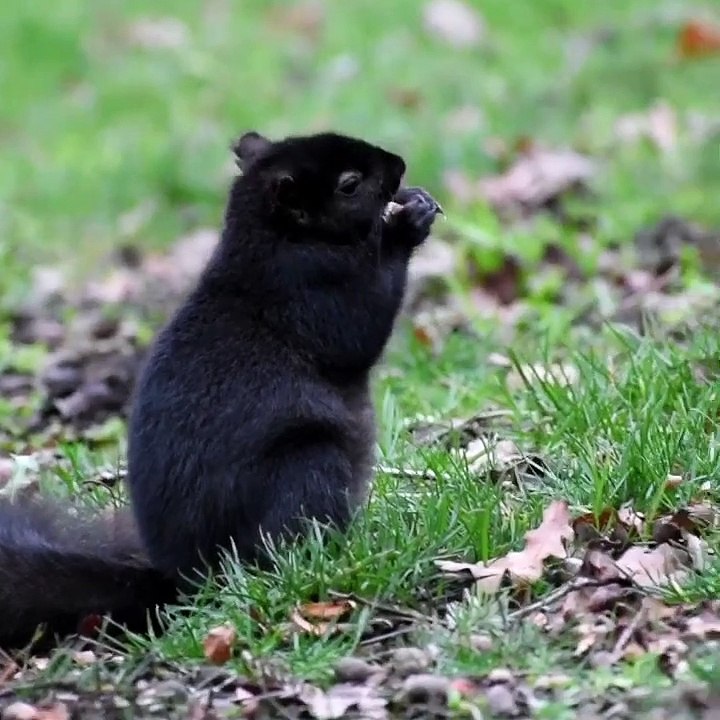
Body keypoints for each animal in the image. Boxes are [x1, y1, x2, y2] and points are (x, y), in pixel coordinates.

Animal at [0, 130, 442, 649]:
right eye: (350, 184)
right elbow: (360, 326)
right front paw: (407, 224)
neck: (275, 241)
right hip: (307, 468)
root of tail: (186, 579)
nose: (399, 165)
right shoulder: (312, 290)